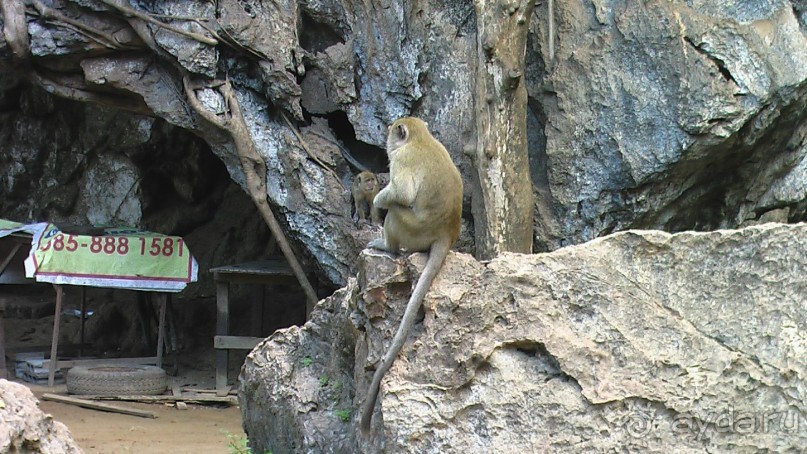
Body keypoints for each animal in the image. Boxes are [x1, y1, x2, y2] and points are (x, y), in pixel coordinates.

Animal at [358, 117, 460, 432]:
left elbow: (401, 193)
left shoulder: (401, 160)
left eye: (393, 131)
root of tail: (447, 233)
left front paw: (377, 199)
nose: (386, 139)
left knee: (395, 209)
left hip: (411, 229)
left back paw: (387, 246)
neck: (421, 138)